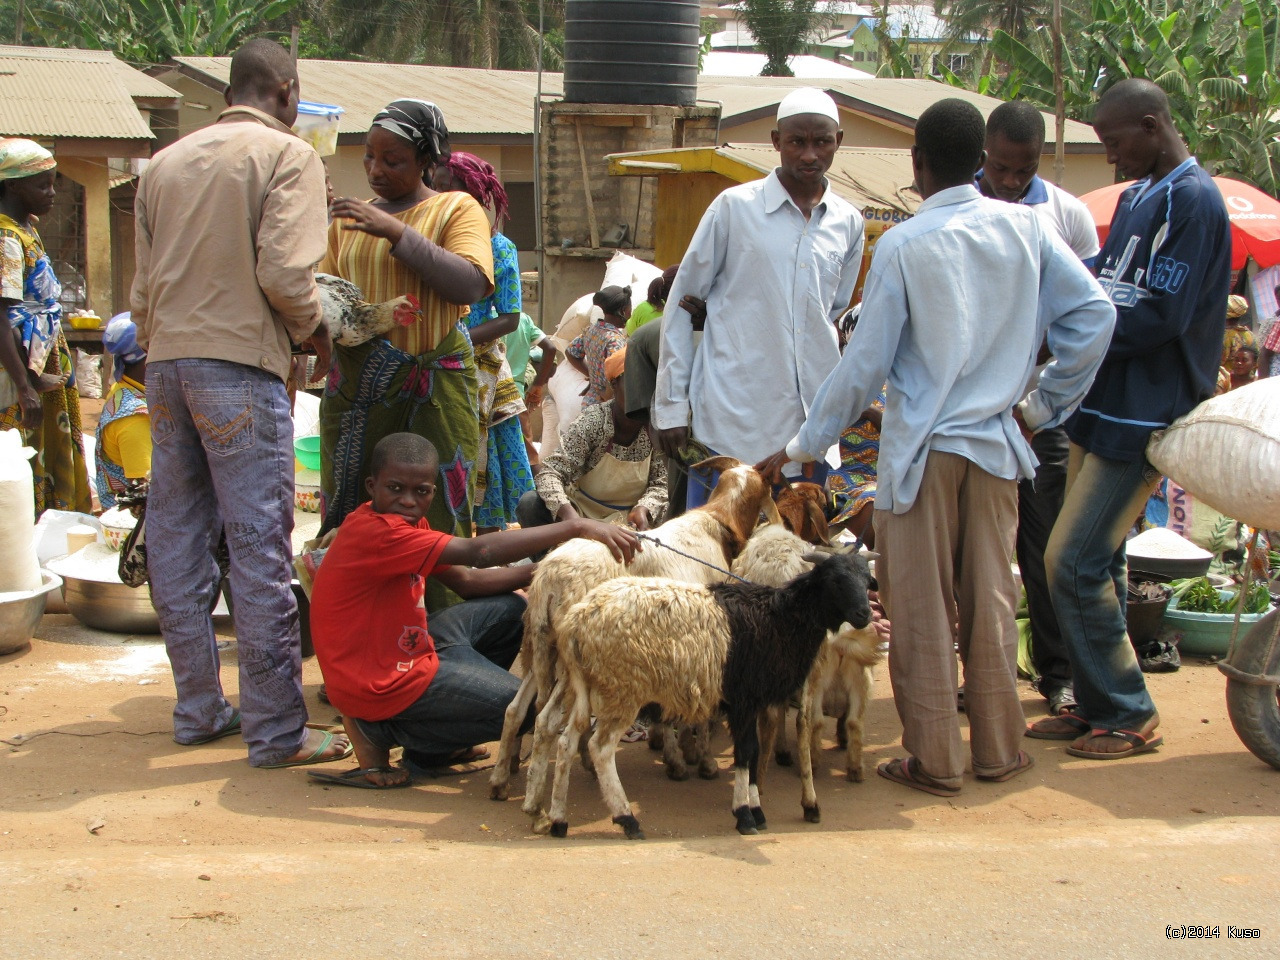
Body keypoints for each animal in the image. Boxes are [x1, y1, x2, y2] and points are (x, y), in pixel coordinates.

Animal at [535, 552, 875, 839]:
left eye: (866, 580)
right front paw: (745, 814)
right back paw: (627, 819)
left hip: (583, 686)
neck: (780, 620)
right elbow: (746, 752)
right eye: (836, 580)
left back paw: (559, 820)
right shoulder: (744, 700)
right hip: (622, 690)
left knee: (566, 741)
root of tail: (576, 622)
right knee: (600, 748)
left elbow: (752, 753)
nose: (865, 614)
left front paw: (756, 810)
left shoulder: (752, 702)